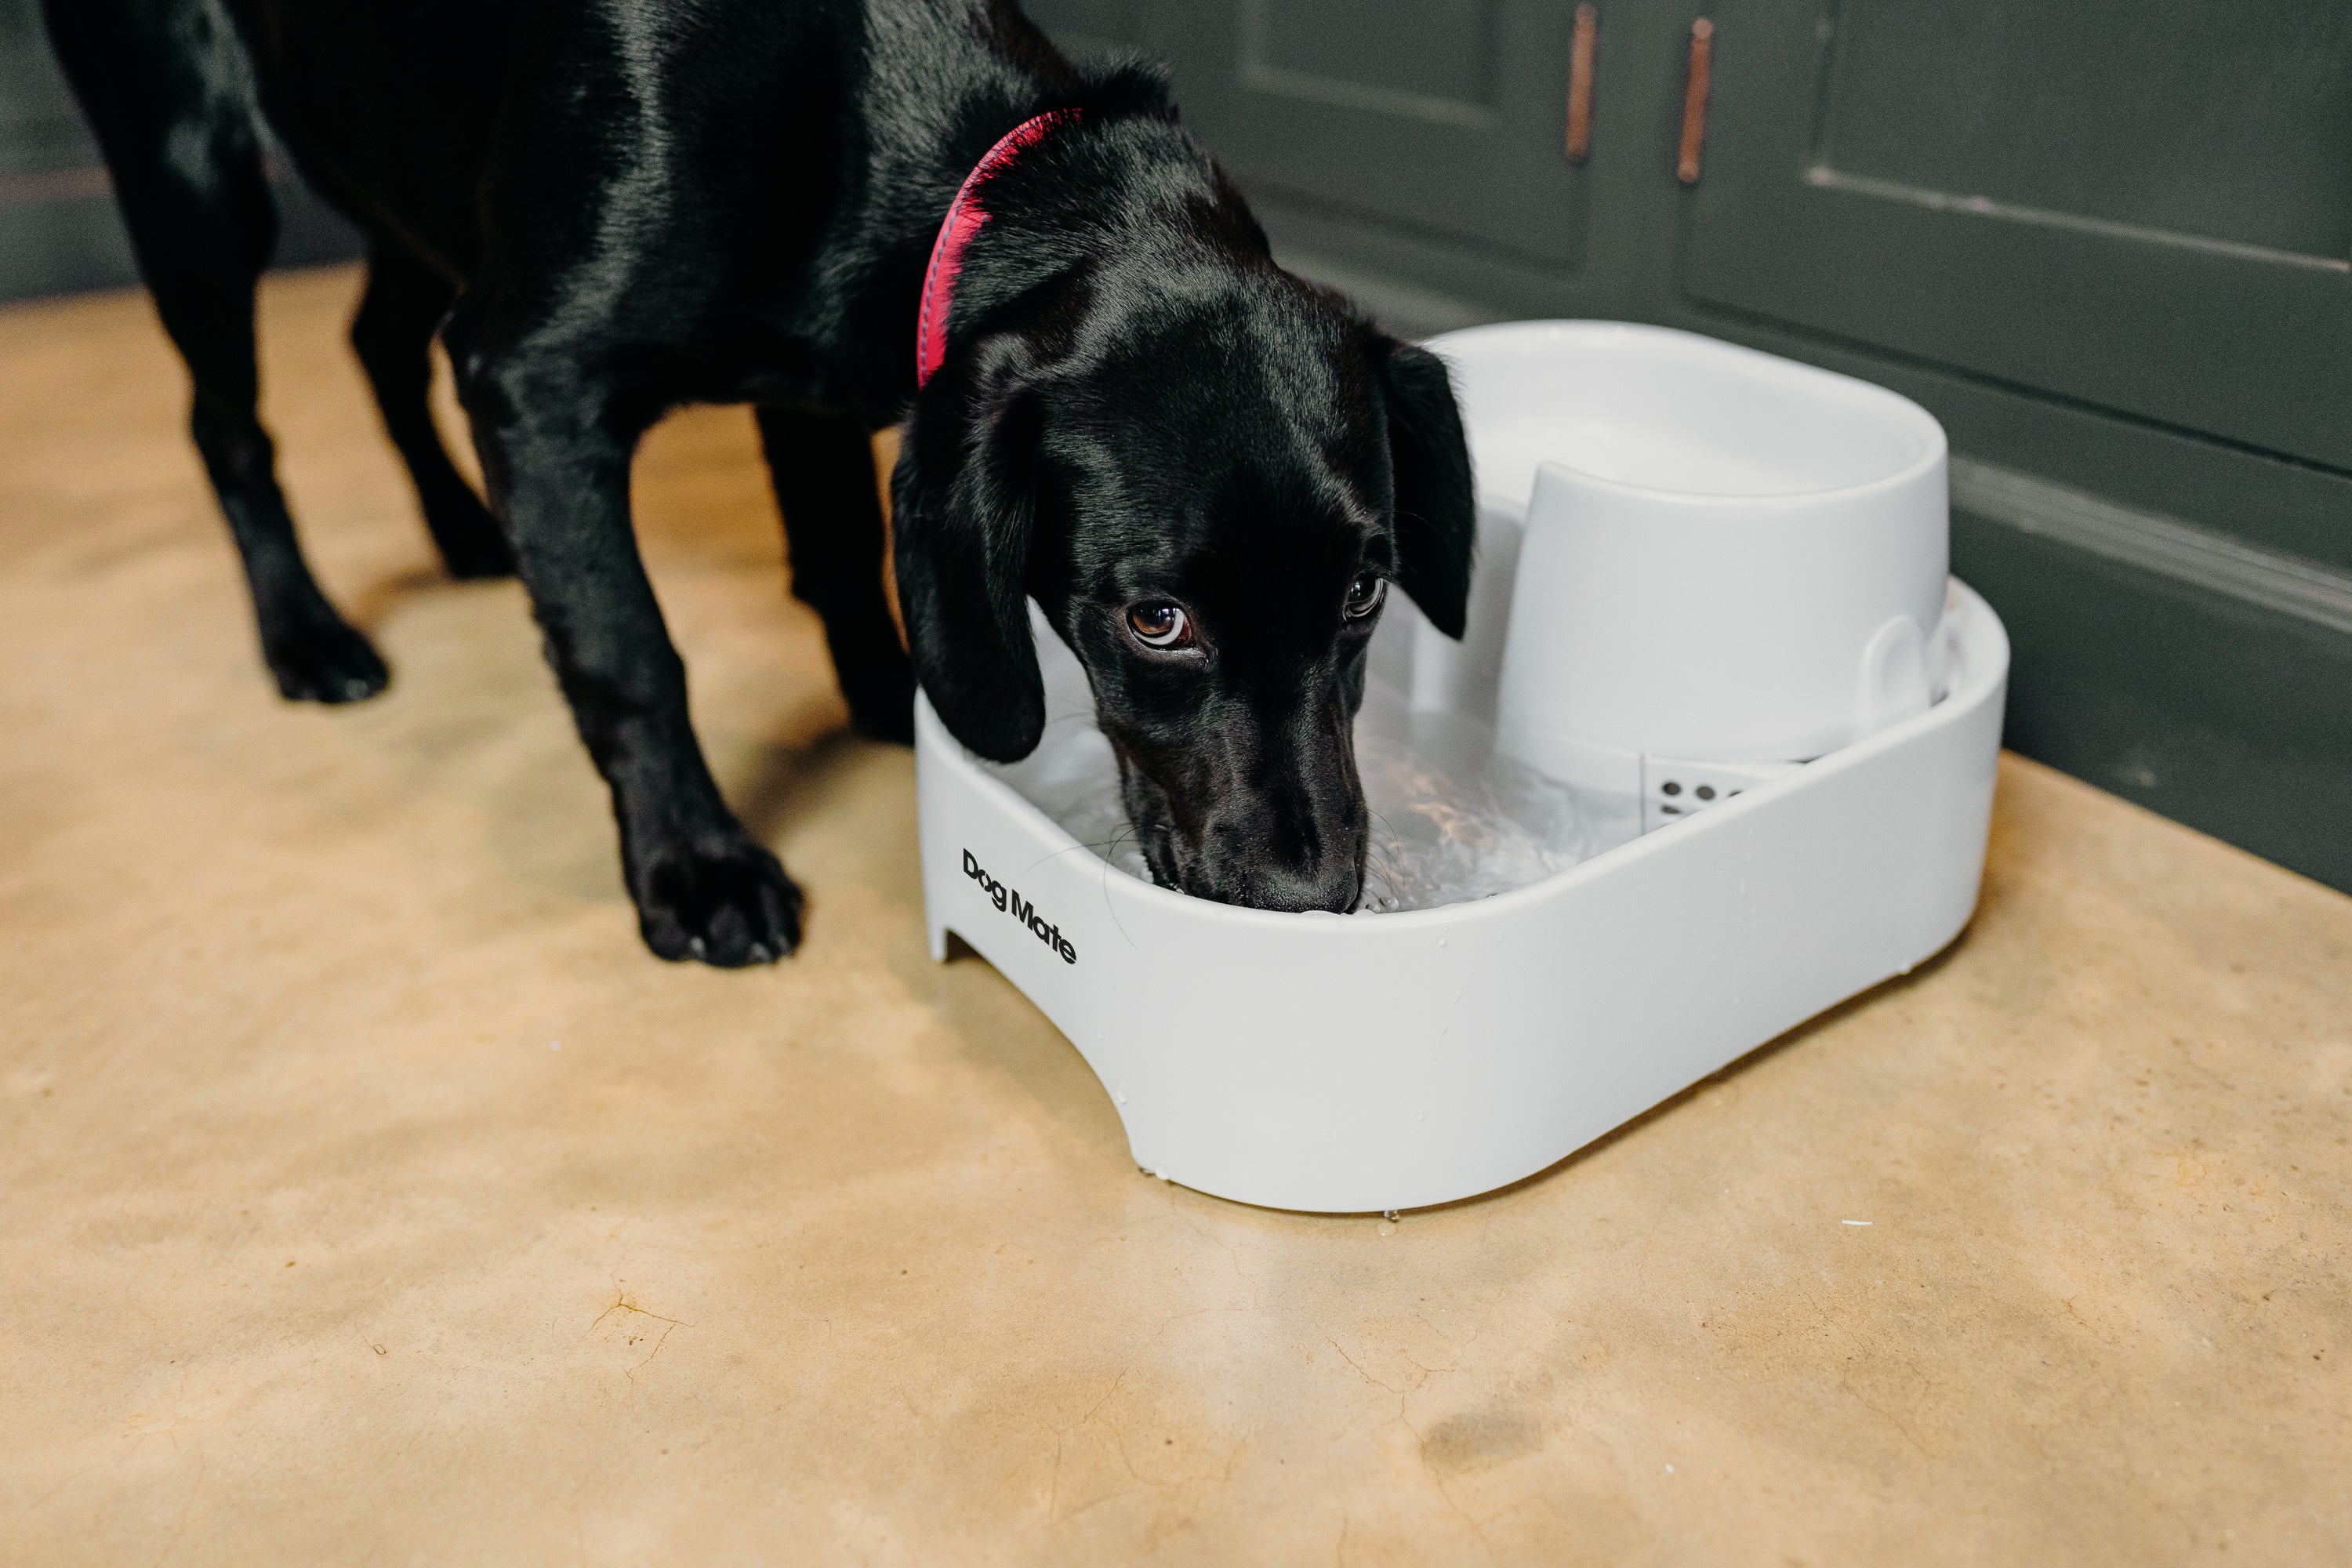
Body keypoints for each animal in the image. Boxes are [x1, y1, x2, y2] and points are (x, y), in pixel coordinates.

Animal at [50, 0, 1468, 964]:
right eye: (1154, 620)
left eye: (1365, 592)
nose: (1311, 900)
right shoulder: (534, 376)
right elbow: (628, 651)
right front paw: (696, 863)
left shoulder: (808, 373)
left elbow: (839, 551)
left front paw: (882, 701)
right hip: (195, 179)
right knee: (227, 428)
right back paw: (305, 634)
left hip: (408, 183)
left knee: (373, 342)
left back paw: (461, 529)